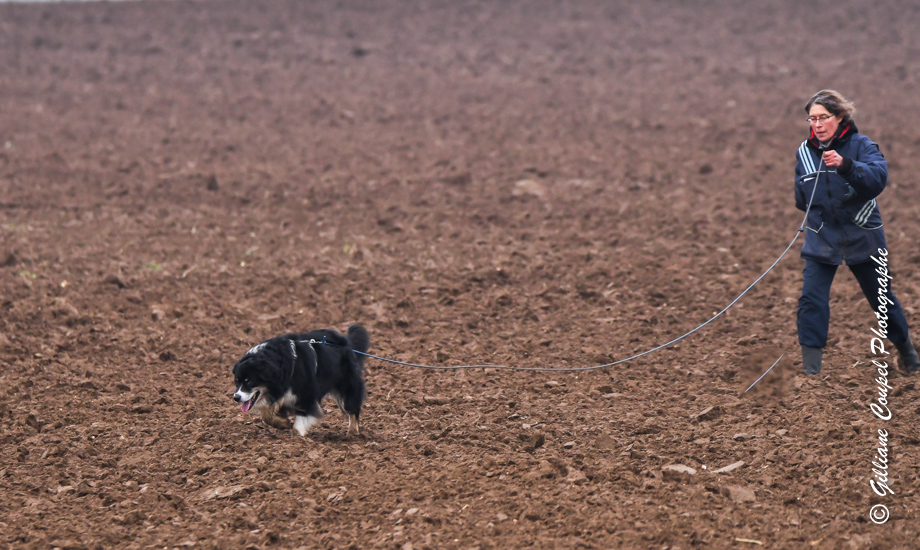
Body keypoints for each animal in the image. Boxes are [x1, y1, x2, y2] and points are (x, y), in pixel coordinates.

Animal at [232, 325, 369, 436]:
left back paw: (352, 433)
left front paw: (298, 437)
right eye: (237, 381)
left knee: (352, 408)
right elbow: (267, 415)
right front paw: (284, 423)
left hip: (347, 386)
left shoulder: (306, 394)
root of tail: (346, 342)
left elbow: (301, 418)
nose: (236, 397)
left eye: (249, 381)